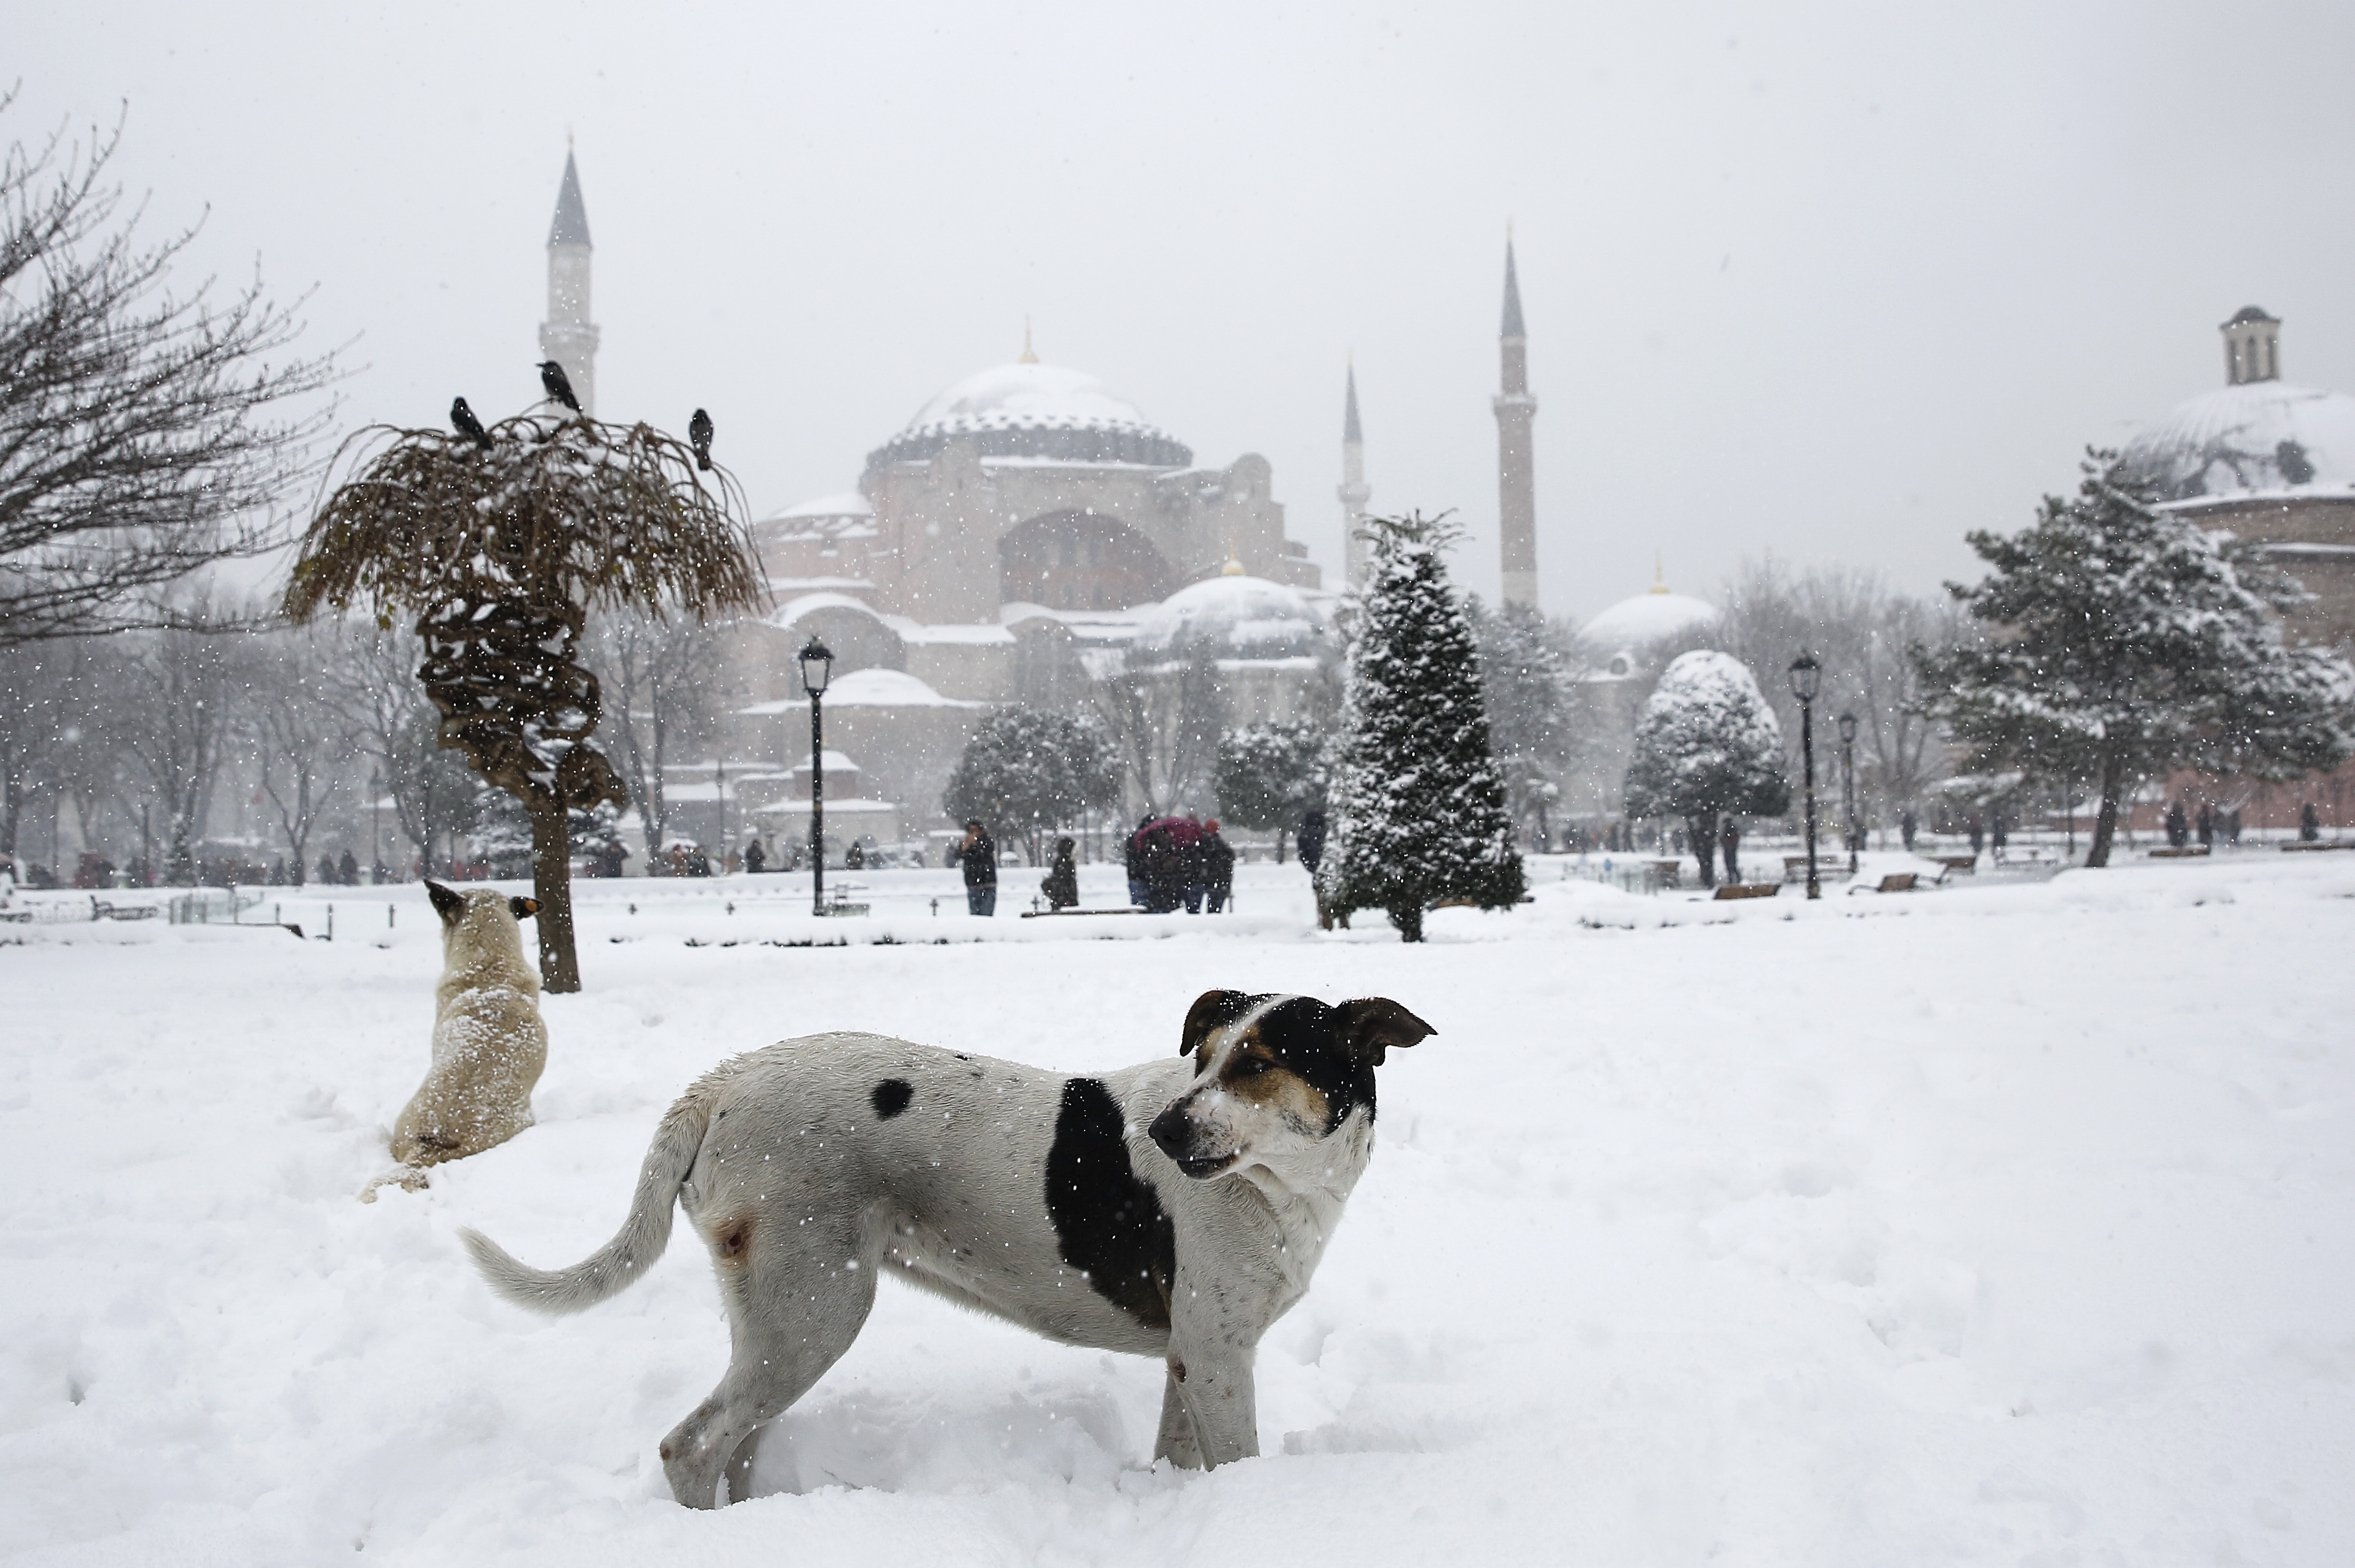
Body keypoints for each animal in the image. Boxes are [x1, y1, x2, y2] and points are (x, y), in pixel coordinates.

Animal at [452, 989, 1422, 1507]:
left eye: (1258, 1063)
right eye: (1207, 1056)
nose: (1165, 1129)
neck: (1276, 1182)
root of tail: (718, 1084)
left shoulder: (1191, 1357)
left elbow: (1180, 1457)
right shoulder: (1219, 1357)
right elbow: (1238, 1460)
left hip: (777, 1324)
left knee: (737, 1443)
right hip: (816, 1311)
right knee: (691, 1446)